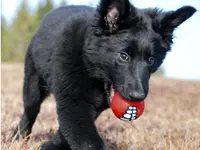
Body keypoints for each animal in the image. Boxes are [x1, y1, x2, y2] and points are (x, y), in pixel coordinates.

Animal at [12, 0, 197, 149]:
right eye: (124, 56)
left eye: (151, 60)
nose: (138, 96)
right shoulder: (74, 101)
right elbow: (86, 138)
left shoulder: (92, 107)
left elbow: (67, 132)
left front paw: (50, 145)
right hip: (33, 84)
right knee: (30, 111)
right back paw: (18, 137)